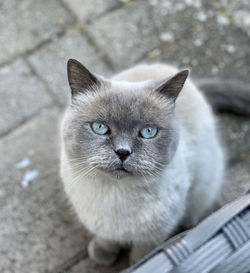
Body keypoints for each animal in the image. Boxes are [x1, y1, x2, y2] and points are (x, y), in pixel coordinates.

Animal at [60, 58, 230, 264]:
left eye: (148, 132)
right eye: (99, 127)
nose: (123, 152)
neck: (116, 194)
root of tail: (195, 86)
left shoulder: (154, 234)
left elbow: (143, 255)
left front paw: (136, 264)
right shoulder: (99, 223)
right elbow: (106, 238)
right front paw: (104, 255)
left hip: (204, 184)